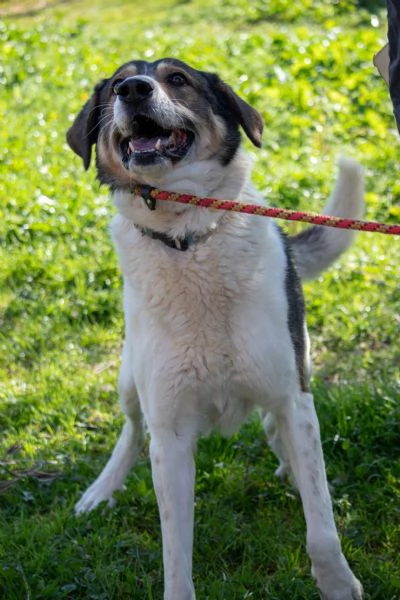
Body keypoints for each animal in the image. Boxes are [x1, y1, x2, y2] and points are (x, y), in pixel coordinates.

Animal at [67, 57, 364, 600]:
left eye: (177, 79)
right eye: (116, 83)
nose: (132, 90)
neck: (188, 235)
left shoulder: (294, 397)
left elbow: (322, 523)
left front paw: (337, 582)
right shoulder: (171, 438)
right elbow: (175, 554)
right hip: (128, 379)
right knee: (131, 429)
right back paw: (102, 489)